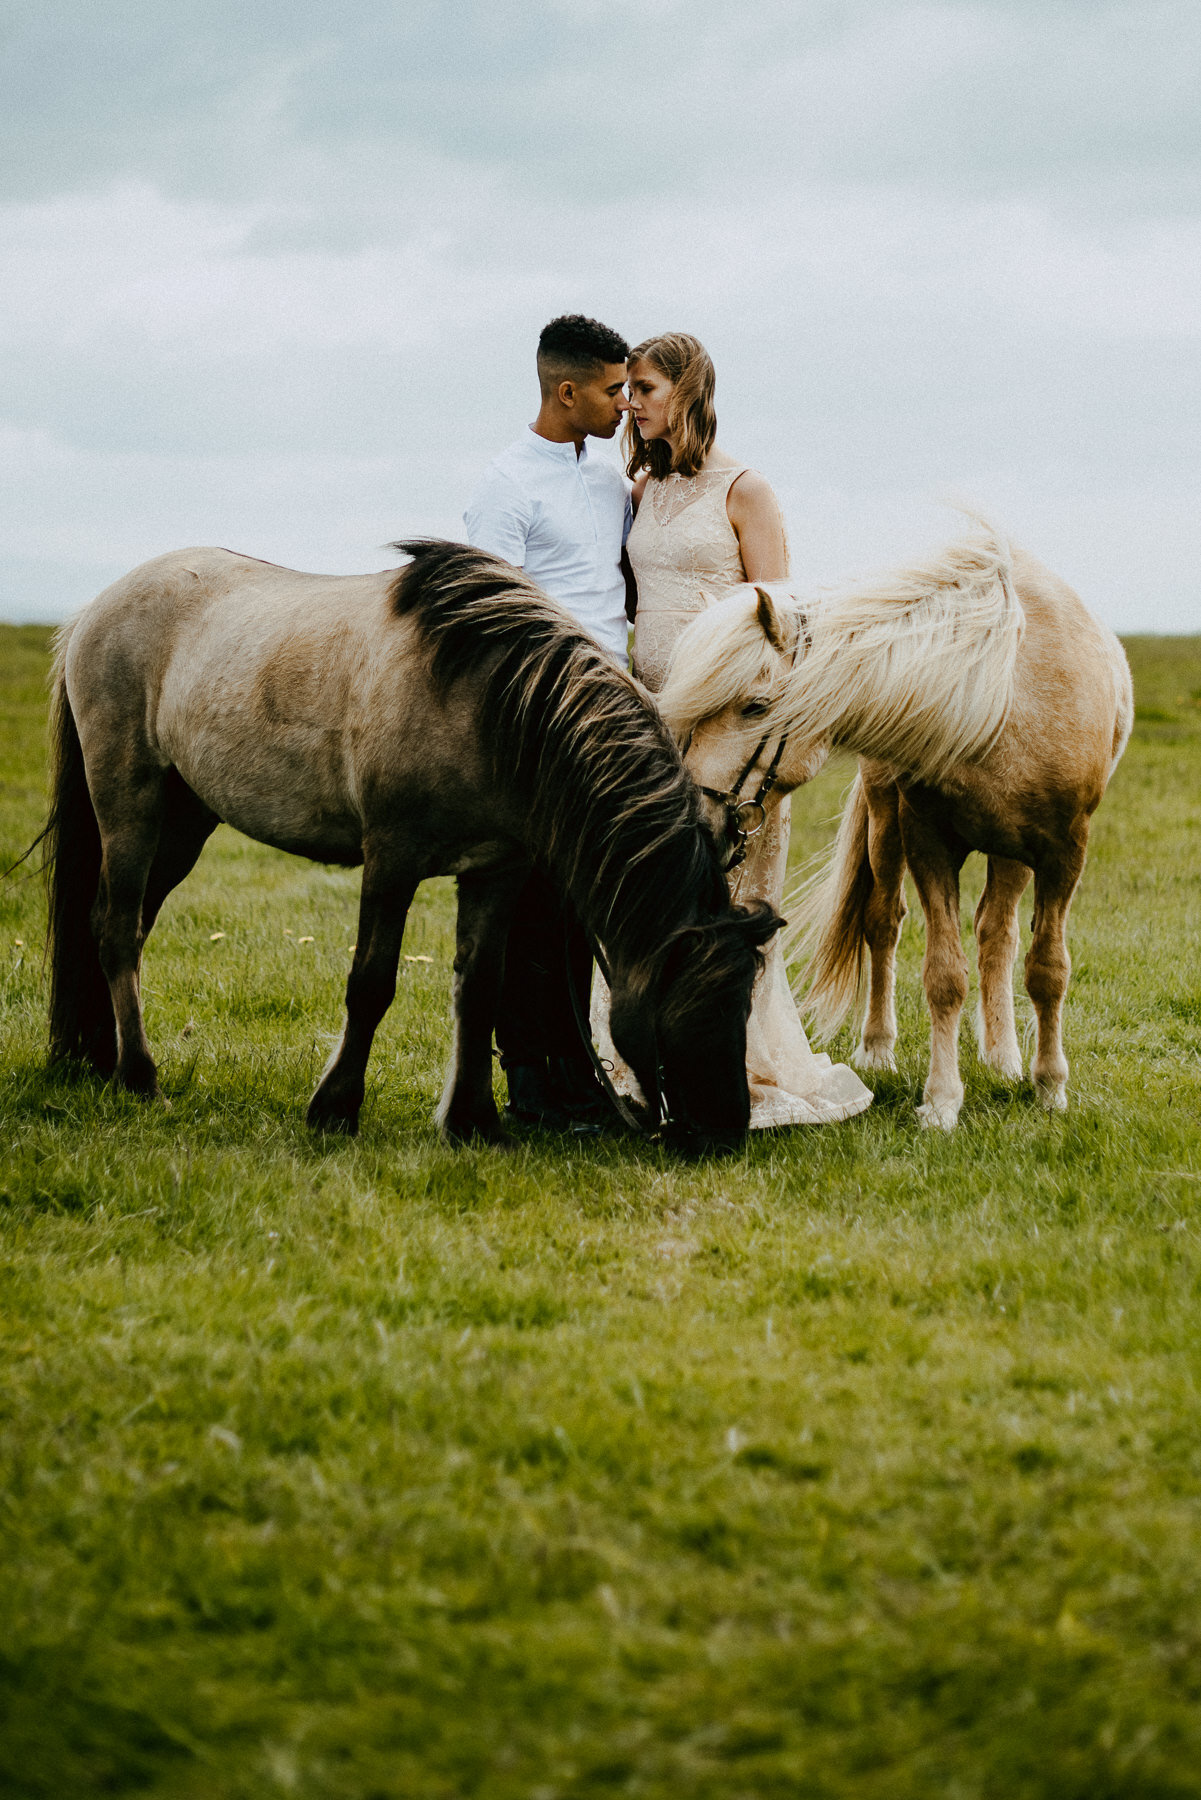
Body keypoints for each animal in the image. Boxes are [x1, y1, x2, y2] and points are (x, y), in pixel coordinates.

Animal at [39, 540, 781, 1144]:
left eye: (747, 1004)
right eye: (689, 1002)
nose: (725, 1133)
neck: (492, 706)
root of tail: (94, 608)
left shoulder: (495, 873)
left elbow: (479, 988)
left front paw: (472, 1121)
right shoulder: (391, 861)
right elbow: (371, 984)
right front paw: (336, 1109)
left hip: (184, 822)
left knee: (124, 929)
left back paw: (102, 1061)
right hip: (129, 803)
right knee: (115, 928)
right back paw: (140, 1078)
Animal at [659, 522, 1137, 1130]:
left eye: (755, 707)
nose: (698, 813)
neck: (1001, 697)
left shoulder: (1063, 853)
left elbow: (1048, 970)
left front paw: (1050, 1086)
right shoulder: (928, 845)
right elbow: (944, 976)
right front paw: (942, 1101)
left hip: (1010, 854)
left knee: (998, 935)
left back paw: (1004, 1057)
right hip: (887, 827)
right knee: (884, 923)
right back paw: (878, 1050)